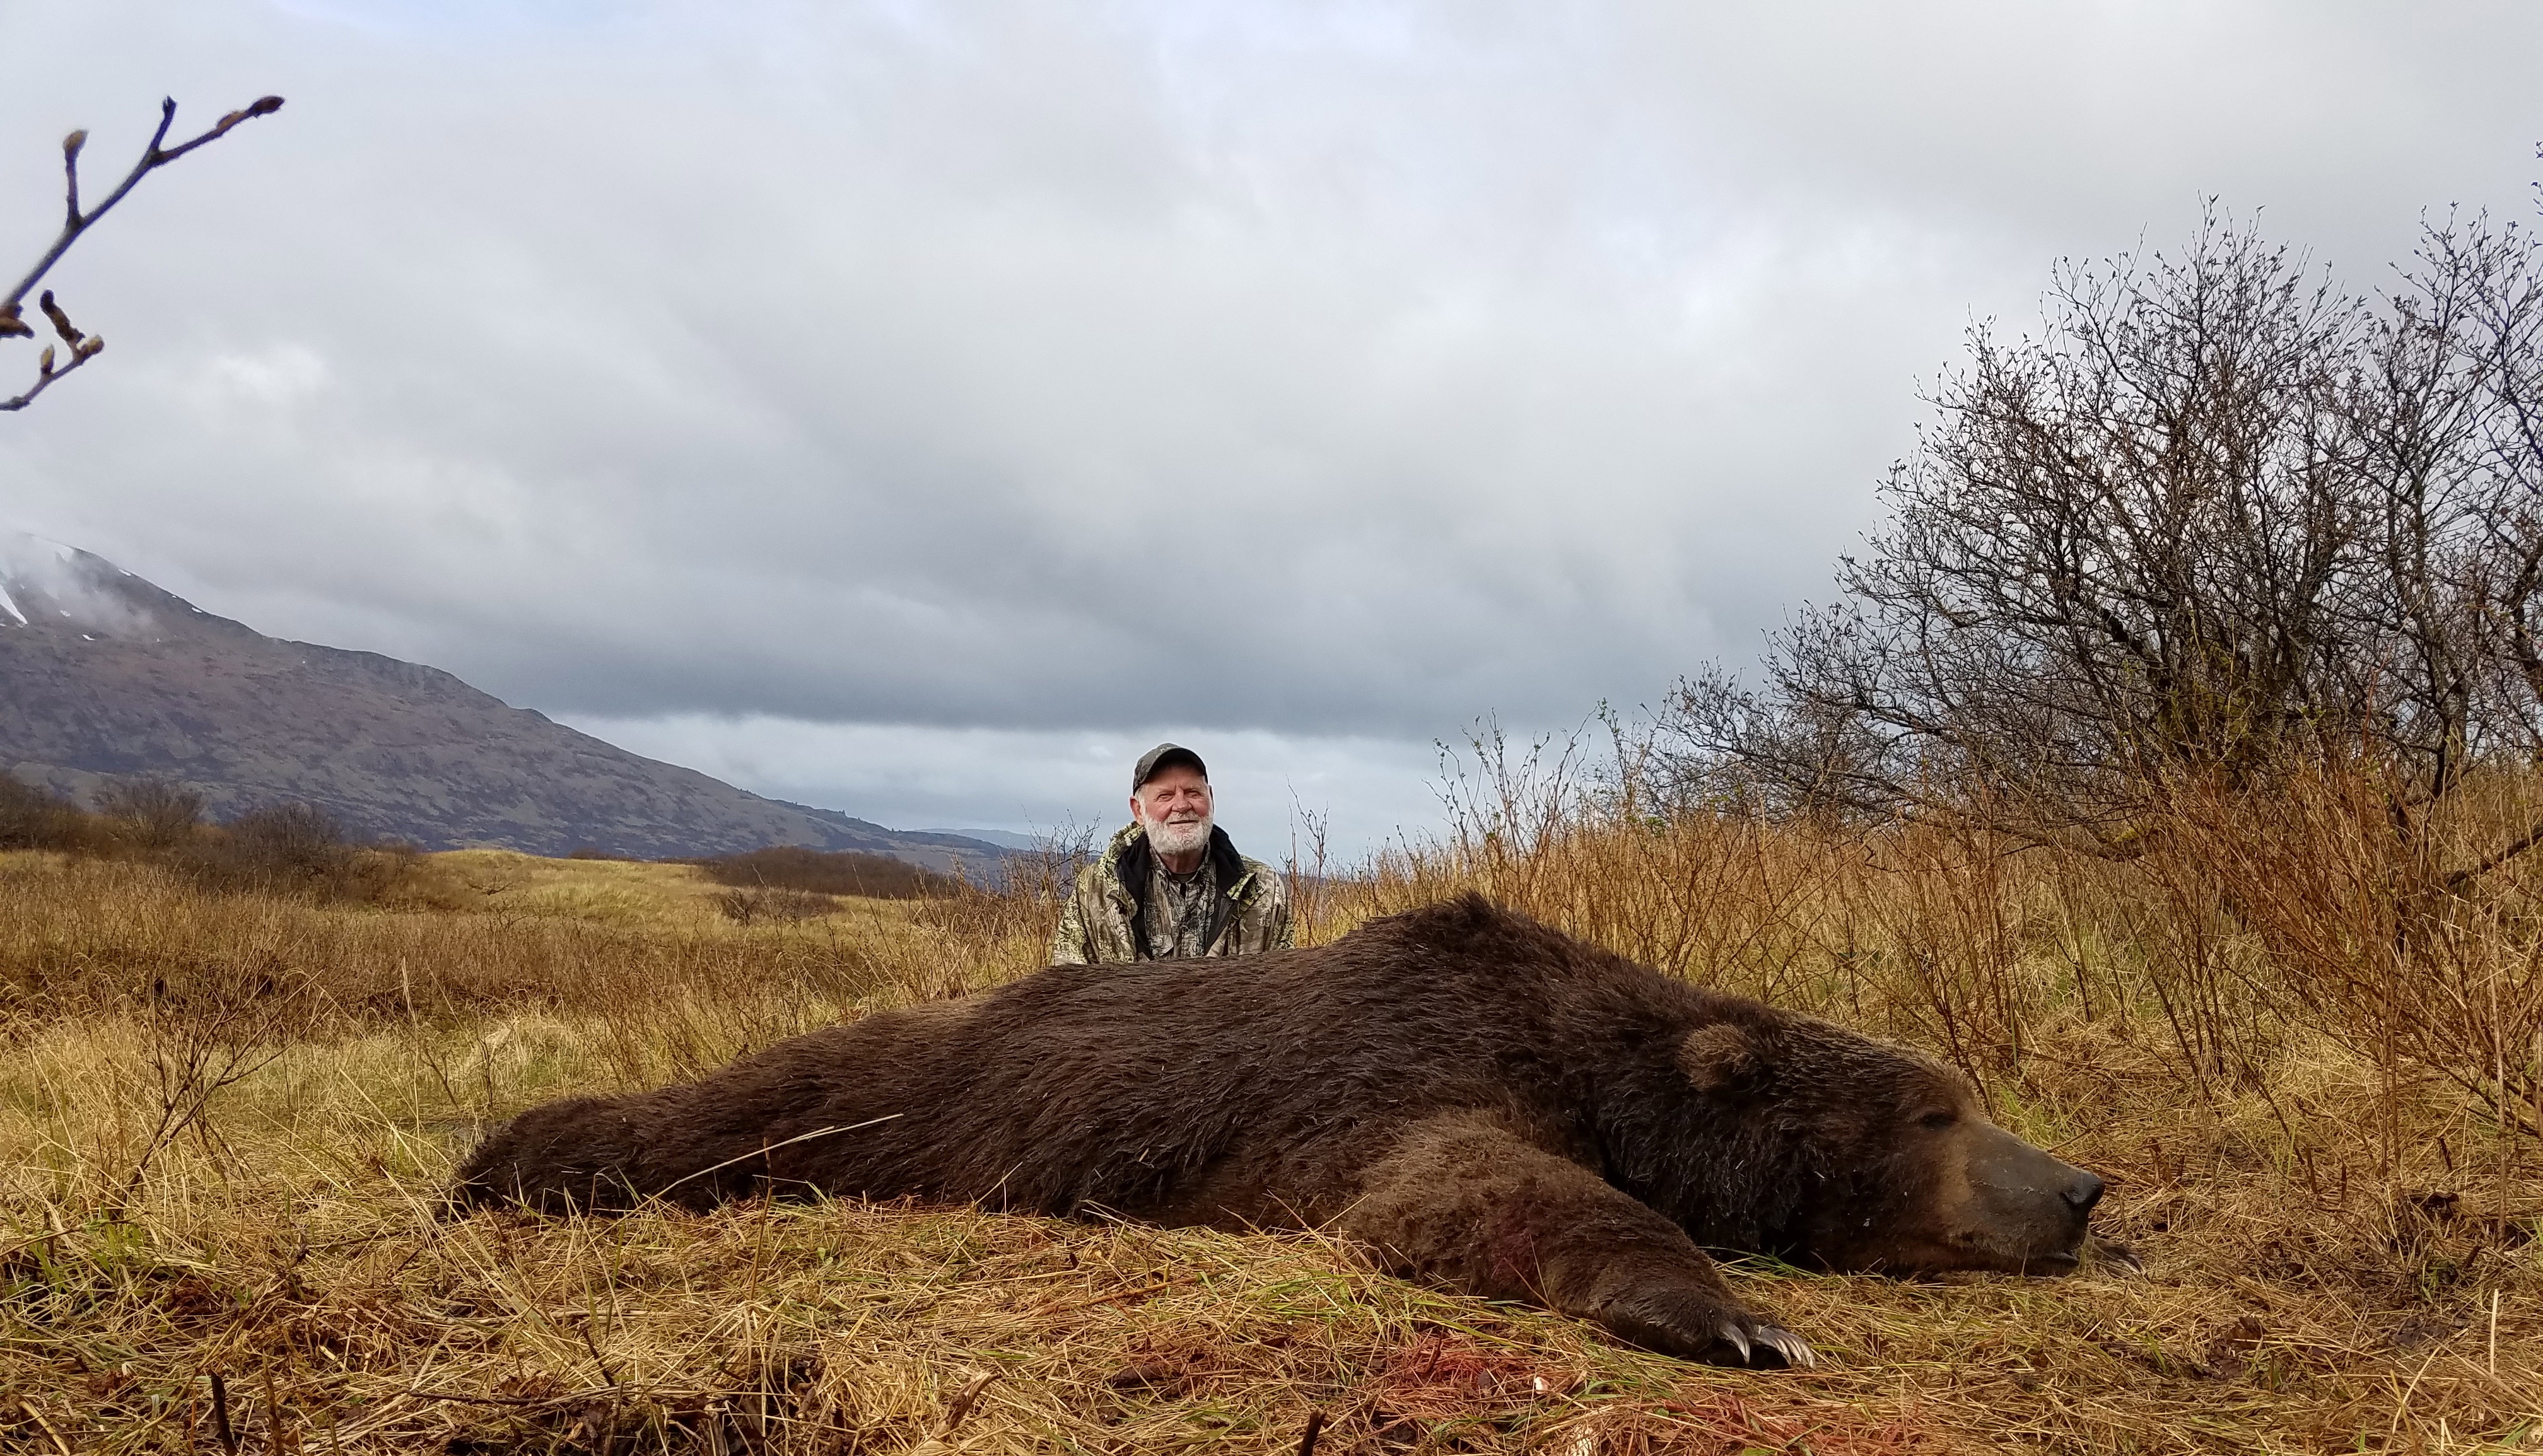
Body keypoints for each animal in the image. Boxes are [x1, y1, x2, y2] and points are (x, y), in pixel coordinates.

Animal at [457, 889, 2105, 1372]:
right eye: (1934, 1107)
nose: (2084, 1182)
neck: (1598, 1048)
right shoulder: (1399, 1075)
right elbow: (1460, 1186)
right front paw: (1731, 1311)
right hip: (904, 1086)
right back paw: (500, 1160)